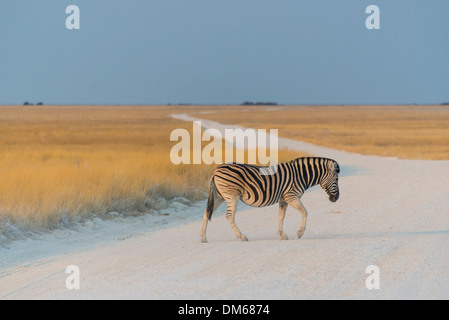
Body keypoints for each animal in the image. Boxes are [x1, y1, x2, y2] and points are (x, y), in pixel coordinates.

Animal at [198, 157, 338, 242]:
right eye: (336, 179)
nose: (336, 199)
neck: (301, 175)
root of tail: (216, 169)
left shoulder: (283, 199)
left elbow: (281, 217)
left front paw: (282, 234)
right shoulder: (291, 196)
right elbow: (305, 212)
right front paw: (300, 233)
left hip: (219, 196)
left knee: (206, 212)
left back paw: (203, 237)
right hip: (231, 196)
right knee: (229, 216)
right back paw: (242, 236)